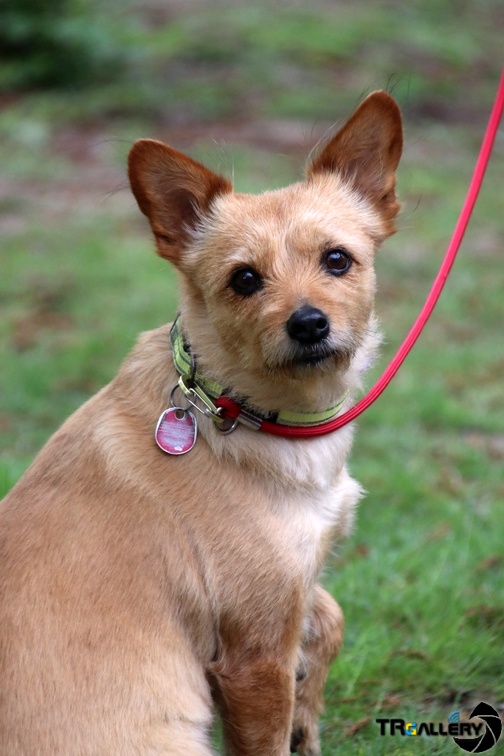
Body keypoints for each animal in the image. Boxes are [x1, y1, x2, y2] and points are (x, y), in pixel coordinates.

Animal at [0, 91, 402, 755]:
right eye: (245, 279)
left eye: (337, 260)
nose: (308, 323)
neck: (241, 410)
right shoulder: (254, 655)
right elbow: (269, 733)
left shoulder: (293, 588)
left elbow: (330, 616)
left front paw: (309, 713)